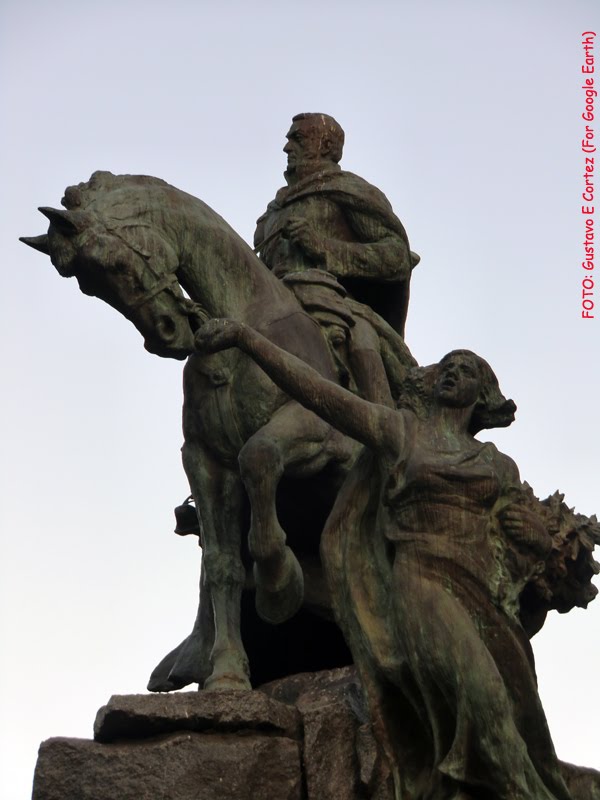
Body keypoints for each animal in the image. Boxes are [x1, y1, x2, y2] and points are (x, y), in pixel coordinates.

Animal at [22, 172, 390, 692]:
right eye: (87, 287)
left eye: (113, 262)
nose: (167, 334)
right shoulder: (206, 460)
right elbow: (222, 563)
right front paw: (227, 673)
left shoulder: (319, 431)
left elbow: (259, 457)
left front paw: (279, 586)